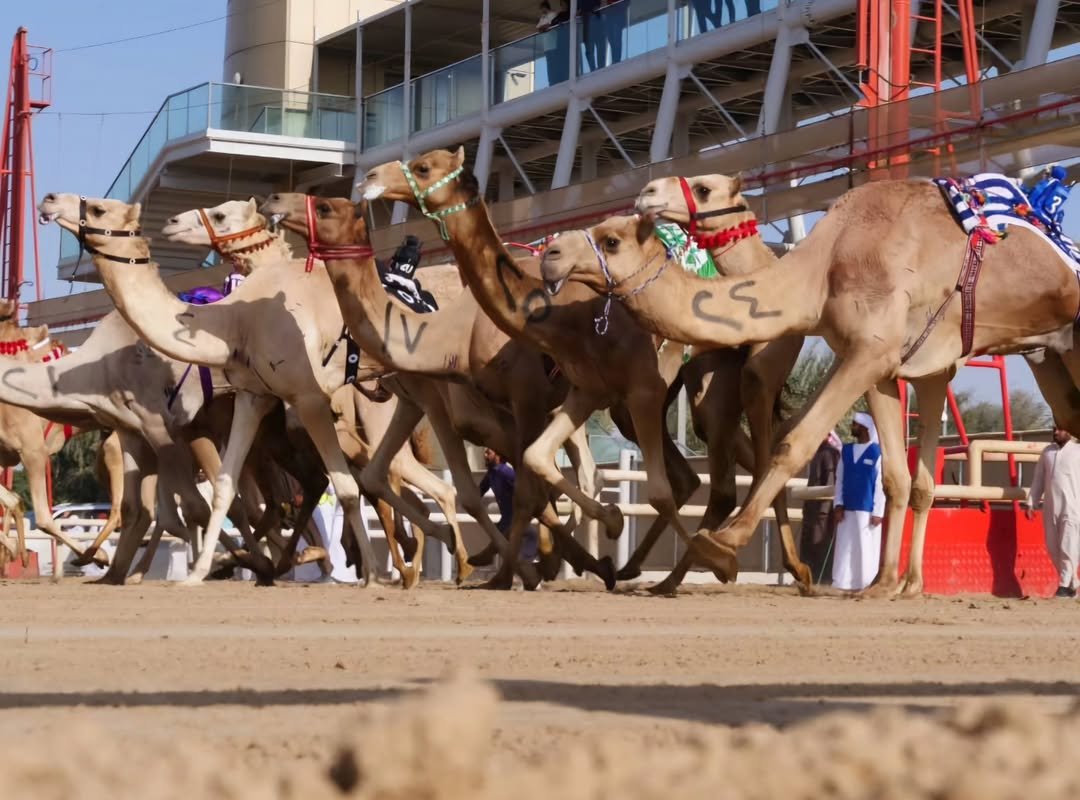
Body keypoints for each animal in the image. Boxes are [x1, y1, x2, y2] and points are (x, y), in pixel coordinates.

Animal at [259, 192, 616, 589]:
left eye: (324, 207)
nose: (274, 200)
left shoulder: (470, 407)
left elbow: (491, 490)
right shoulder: (418, 400)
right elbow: (377, 476)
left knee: (581, 471)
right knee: (580, 471)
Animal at [357, 148, 813, 589]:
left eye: (423, 166)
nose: (370, 178)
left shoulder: (526, 398)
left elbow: (530, 488)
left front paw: (524, 570)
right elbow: (528, 476)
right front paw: (533, 564)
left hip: (713, 381)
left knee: (727, 475)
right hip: (665, 396)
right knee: (709, 473)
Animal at [538, 176, 1080, 594]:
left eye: (611, 240)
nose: (551, 252)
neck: (824, 268)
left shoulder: (869, 352)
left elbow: (792, 444)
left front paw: (724, 544)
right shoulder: (883, 364)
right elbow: (896, 476)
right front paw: (882, 585)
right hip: (1050, 355)